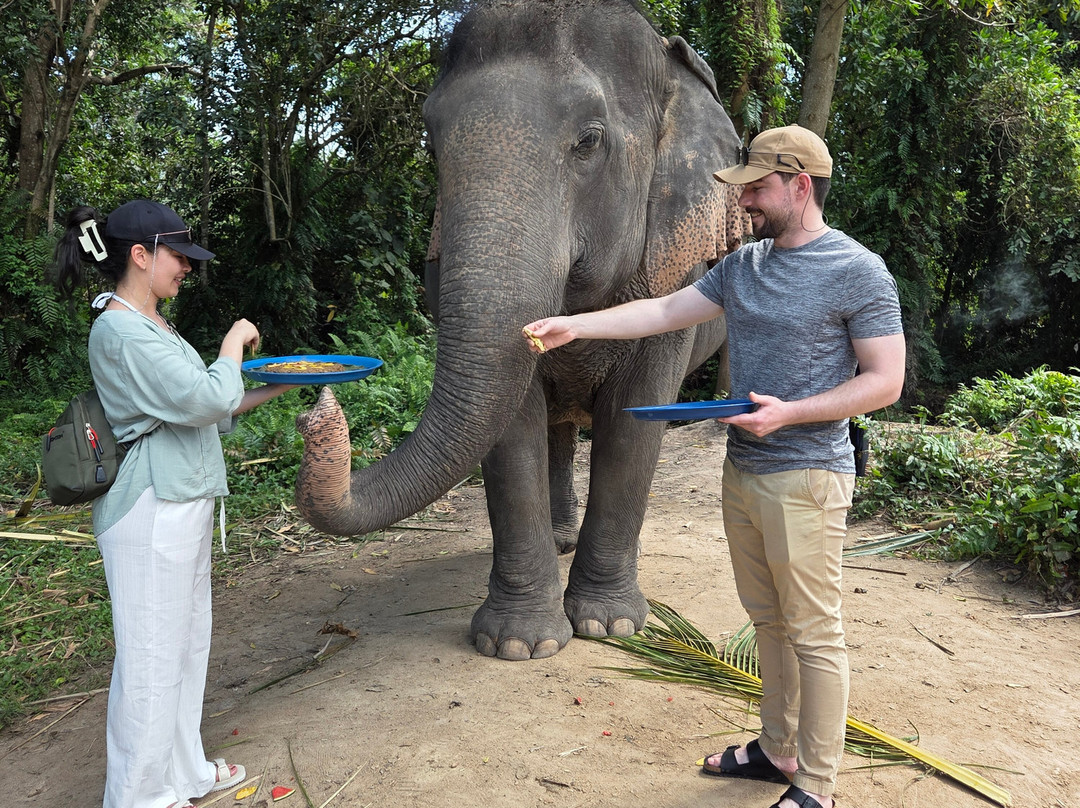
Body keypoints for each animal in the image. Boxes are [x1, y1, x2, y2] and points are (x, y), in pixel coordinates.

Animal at [295, 0, 750, 660]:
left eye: (589, 141)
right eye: (431, 146)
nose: (317, 409)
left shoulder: (673, 269)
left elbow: (635, 417)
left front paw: (609, 626)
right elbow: (512, 427)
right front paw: (517, 645)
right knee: (558, 427)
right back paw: (561, 541)